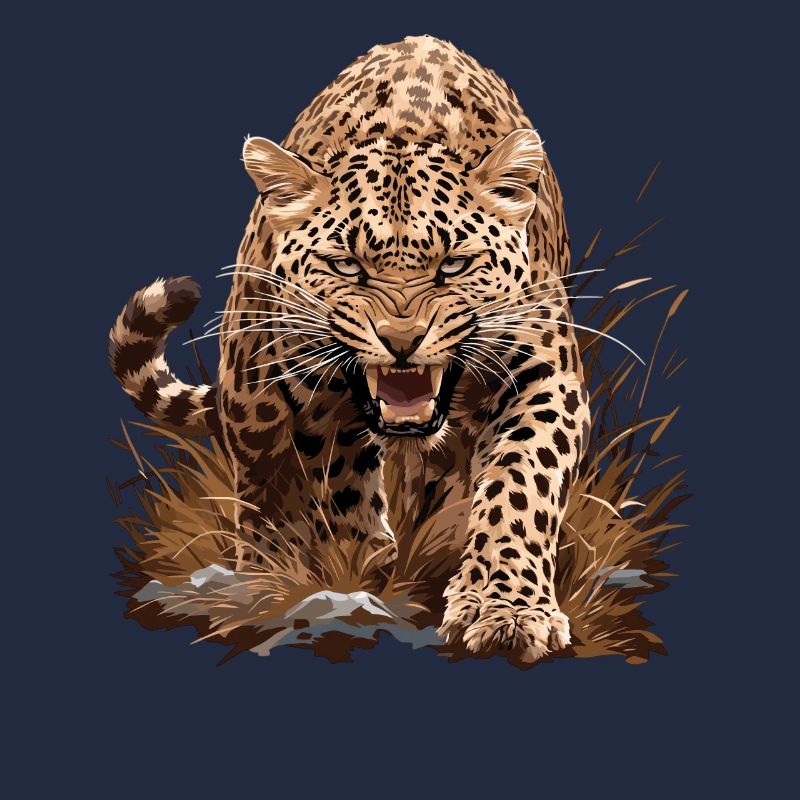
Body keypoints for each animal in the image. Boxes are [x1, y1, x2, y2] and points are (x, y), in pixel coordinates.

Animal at [109, 35, 591, 664]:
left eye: (455, 264)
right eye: (346, 266)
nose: (402, 340)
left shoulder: (543, 376)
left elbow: (519, 485)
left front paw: (505, 609)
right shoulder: (311, 402)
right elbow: (334, 486)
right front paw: (351, 573)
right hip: (250, 389)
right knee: (264, 481)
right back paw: (267, 571)